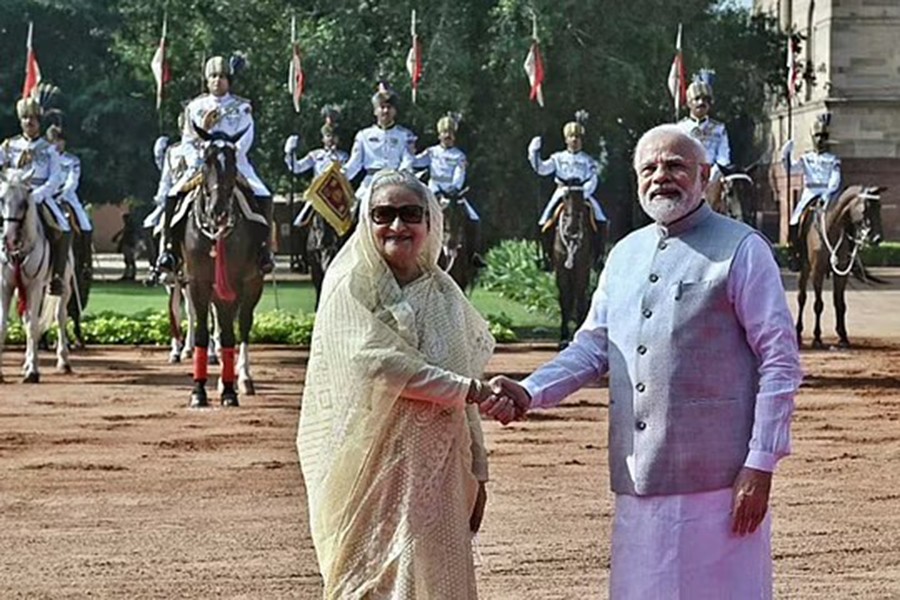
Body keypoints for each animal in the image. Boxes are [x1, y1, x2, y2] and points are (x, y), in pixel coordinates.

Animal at [0, 171, 72, 382]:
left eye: (24, 203)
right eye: (1, 199)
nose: (7, 239)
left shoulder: (34, 286)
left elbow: (33, 326)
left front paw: (33, 371)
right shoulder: (6, 286)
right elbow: (3, 326)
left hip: (64, 285)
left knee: (60, 316)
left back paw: (63, 361)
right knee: (27, 319)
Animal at [800, 185, 884, 350]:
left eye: (879, 207)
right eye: (866, 208)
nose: (878, 238)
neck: (830, 226)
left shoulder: (841, 273)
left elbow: (840, 304)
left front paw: (843, 337)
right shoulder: (817, 271)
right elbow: (818, 304)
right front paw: (817, 338)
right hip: (805, 268)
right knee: (802, 298)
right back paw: (797, 331)